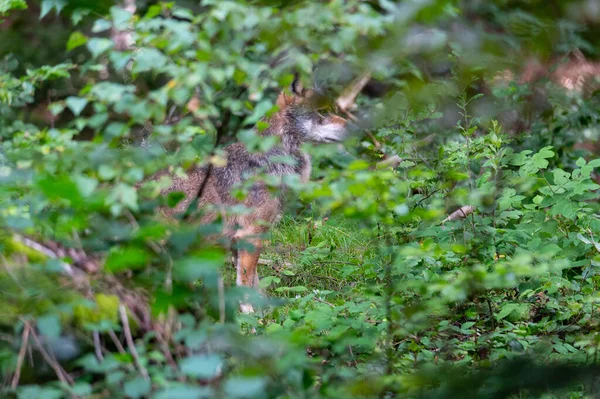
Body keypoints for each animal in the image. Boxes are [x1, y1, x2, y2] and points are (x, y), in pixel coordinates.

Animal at [157, 77, 346, 312]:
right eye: (323, 112)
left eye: (333, 109)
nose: (355, 127)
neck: (271, 158)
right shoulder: (250, 234)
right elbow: (245, 283)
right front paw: (249, 315)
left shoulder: (240, 240)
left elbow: (255, 281)